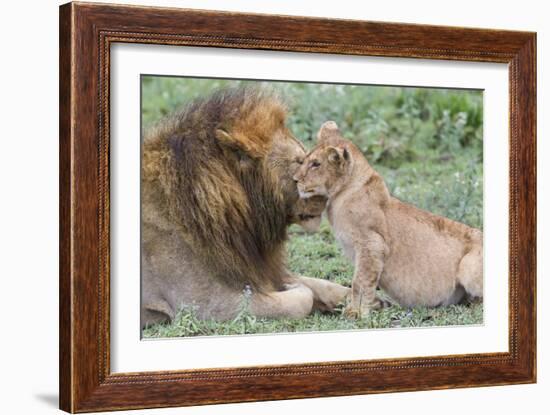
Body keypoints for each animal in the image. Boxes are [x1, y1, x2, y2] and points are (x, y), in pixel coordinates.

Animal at [142, 88, 350, 328]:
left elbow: (324, 285)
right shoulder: (206, 305)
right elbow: (301, 299)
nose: (328, 196)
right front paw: (293, 287)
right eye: (299, 163)